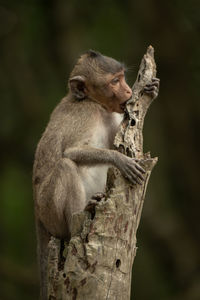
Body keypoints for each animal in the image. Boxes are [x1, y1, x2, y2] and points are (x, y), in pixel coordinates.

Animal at [32, 50, 159, 296]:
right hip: (48, 209)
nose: (128, 91)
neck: (94, 103)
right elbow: (71, 152)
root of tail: (37, 213)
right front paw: (121, 160)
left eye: (122, 78)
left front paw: (151, 89)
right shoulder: (86, 114)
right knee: (65, 165)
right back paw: (78, 215)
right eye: (114, 81)